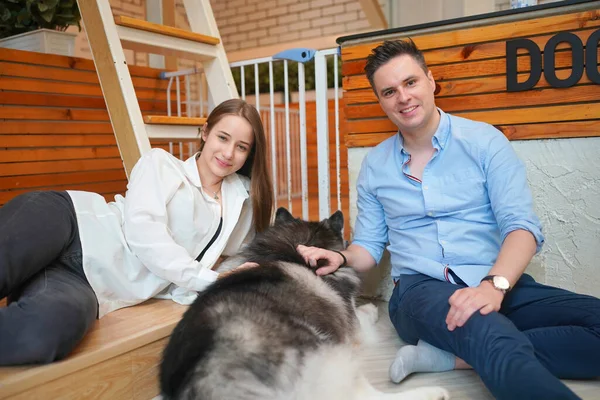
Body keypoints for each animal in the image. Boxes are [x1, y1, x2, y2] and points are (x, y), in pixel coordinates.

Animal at [159, 209, 450, 400]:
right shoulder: (353, 330)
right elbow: (362, 314)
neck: (294, 253)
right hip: (329, 351)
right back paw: (433, 392)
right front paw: (370, 308)